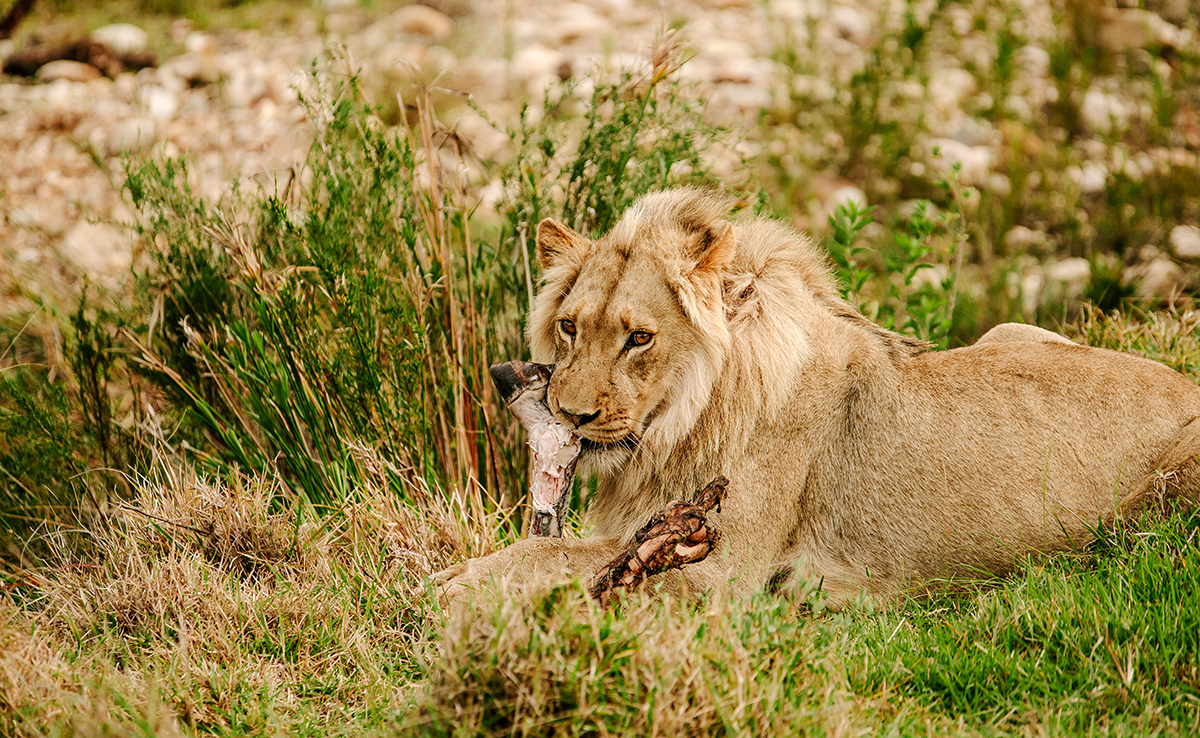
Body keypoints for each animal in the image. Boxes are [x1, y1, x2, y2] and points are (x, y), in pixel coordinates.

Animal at [436, 187, 1200, 609]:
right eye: (569, 326)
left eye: (639, 338)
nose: (571, 415)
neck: (682, 422)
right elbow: (558, 551)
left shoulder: (721, 572)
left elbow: (558, 558)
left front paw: (455, 585)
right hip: (1012, 331)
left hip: (1162, 501)